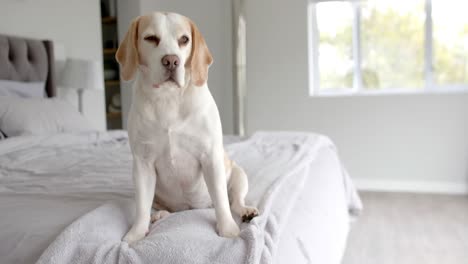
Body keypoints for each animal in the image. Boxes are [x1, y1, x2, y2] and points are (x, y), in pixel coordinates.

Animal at [114, 12, 258, 243]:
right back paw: (160, 214)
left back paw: (245, 210)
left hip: (238, 174)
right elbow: (142, 207)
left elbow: (221, 201)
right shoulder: (143, 164)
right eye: (151, 38)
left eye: (184, 39)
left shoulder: (210, 157)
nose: (171, 61)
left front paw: (227, 229)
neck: (168, 98)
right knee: (156, 207)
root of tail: (190, 208)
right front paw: (137, 232)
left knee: (234, 201)